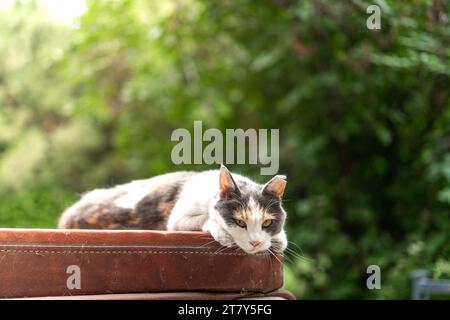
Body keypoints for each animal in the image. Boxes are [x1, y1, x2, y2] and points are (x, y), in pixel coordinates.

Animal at [58, 166, 286, 254]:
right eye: (239, 222)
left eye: (267, 222)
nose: (255, 242)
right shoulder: (177, 220)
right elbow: (205, 219)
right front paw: (224, 234)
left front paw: (277, 240)